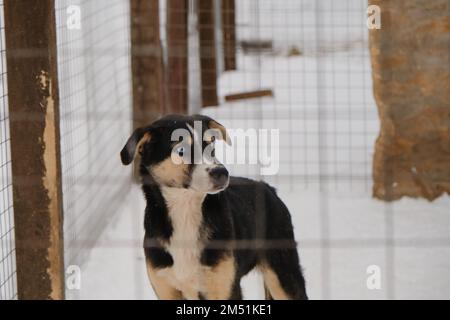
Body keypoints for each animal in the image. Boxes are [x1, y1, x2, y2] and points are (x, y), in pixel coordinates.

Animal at [119, 115, 308, 300]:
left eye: (211, 146)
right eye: (181, 151)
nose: (221, 173)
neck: (186, 212)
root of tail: (267, 187)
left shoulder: (224, 287)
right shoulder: (165, 287)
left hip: (283, 273)